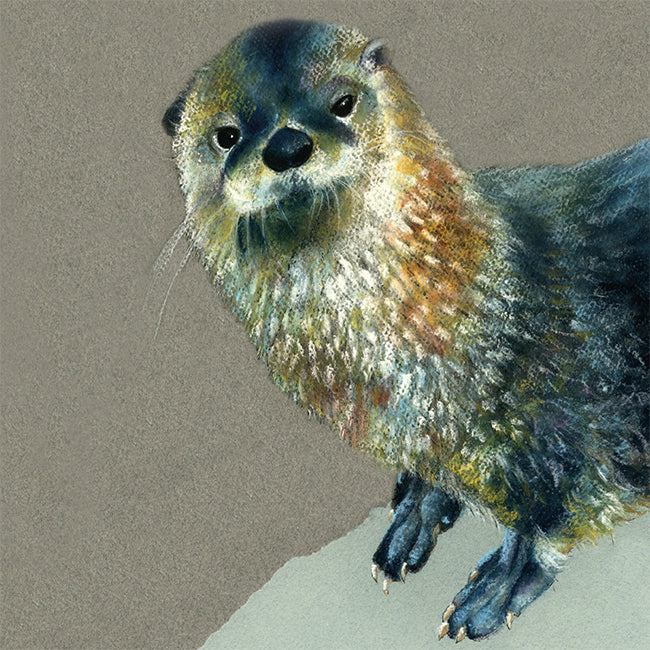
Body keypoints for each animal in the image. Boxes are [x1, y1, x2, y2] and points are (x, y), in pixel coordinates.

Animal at [162, 20, 649, 641]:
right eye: (226, 135)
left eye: (343, 103)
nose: (286, 146)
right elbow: (433, 474)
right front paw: (414, 516)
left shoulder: (560, 421)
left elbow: (545, 518)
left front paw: (495, 590)